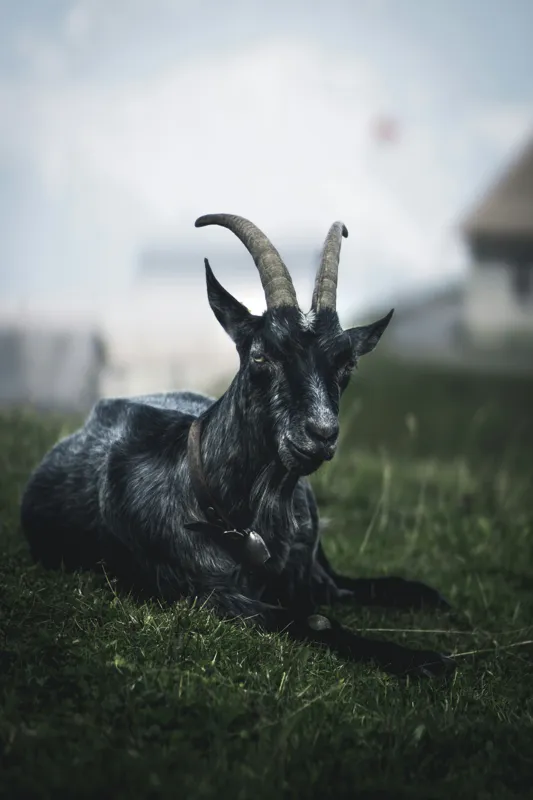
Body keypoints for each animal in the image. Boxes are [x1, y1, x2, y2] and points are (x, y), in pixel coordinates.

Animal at [20, 214, 456, 678]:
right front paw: (423, 659)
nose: (321, 433)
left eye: (347, 363)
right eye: (261, 355)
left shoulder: (307, 577)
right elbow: (315, 621)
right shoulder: (206, 595)